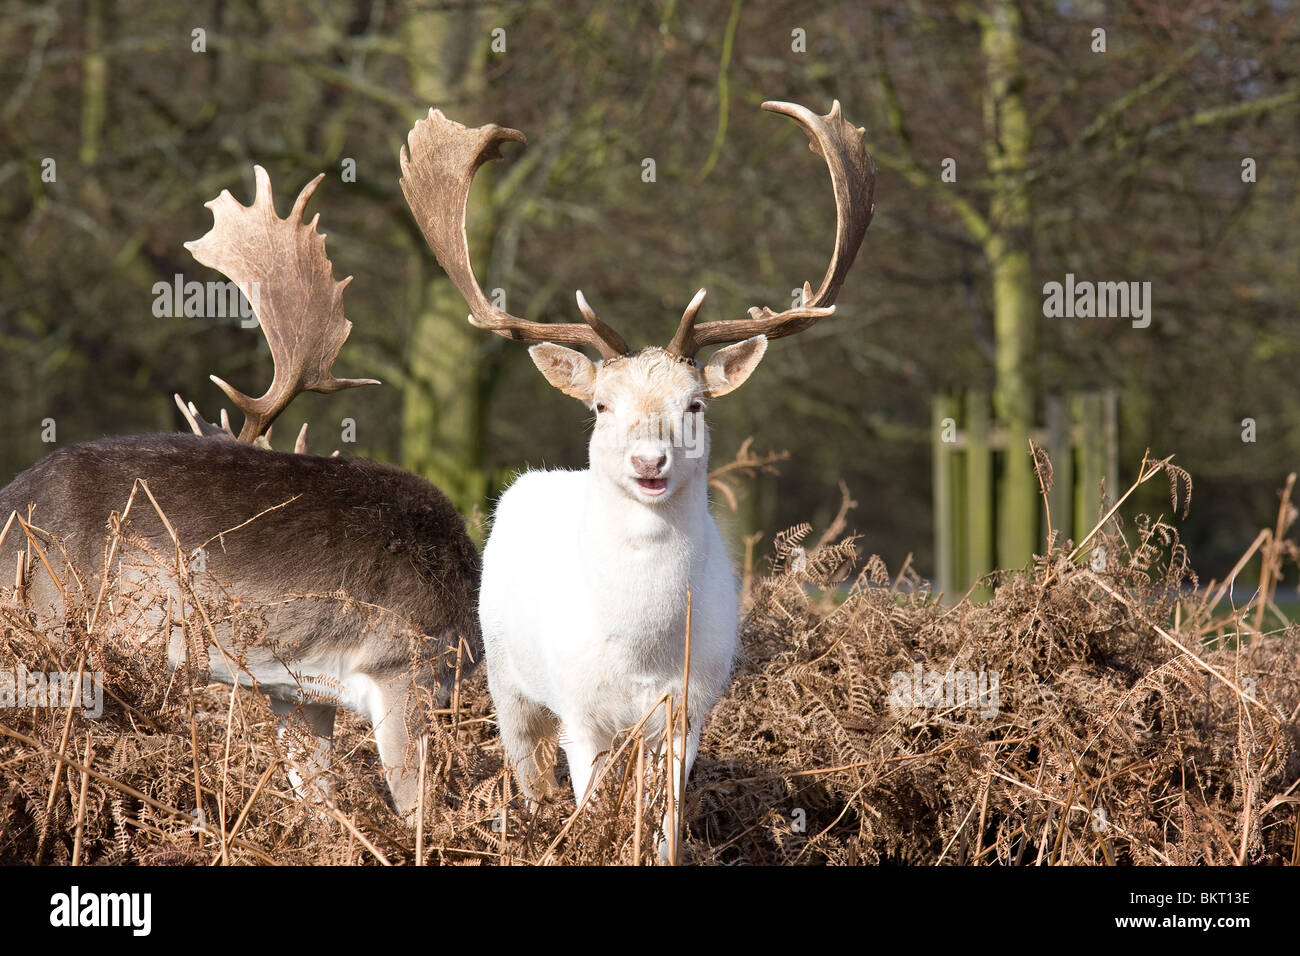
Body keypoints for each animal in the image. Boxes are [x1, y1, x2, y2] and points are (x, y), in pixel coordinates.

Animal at [400, 98, 873, 858]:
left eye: (696, 403)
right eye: (600, 404)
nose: (649, 461)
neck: (639, 649)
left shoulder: (689, 706)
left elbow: (663, 829)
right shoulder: (580, 710)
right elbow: (591, 811)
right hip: (506, 682)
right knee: (529, 778)